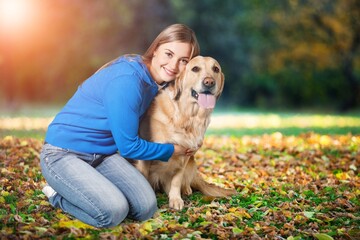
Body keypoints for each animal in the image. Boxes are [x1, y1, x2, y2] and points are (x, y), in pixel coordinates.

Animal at [136, 56, 236, 210]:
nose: (209, 82)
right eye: (195, 68)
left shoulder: (185, 156)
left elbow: (177, 180)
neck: (187, 117)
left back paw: (186, 189)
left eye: (216, 69)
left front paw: (175, 199)